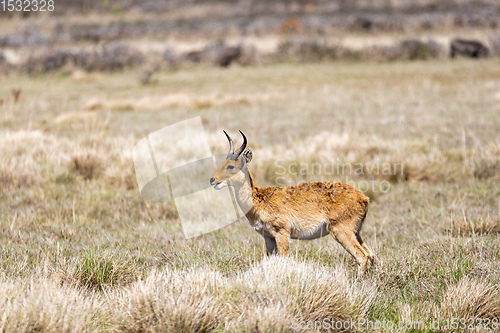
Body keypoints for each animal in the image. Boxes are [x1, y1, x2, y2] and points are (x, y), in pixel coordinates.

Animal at [208, 131, 376, 274]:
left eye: (231, 166)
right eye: (222, 164)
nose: (213, 180)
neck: (259, 200)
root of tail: (364, 198)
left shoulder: (281, 233)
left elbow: (283, 259)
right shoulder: (268, 237)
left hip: (341, 232)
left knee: (362, 256)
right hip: (356, 233)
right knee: (371, 255)